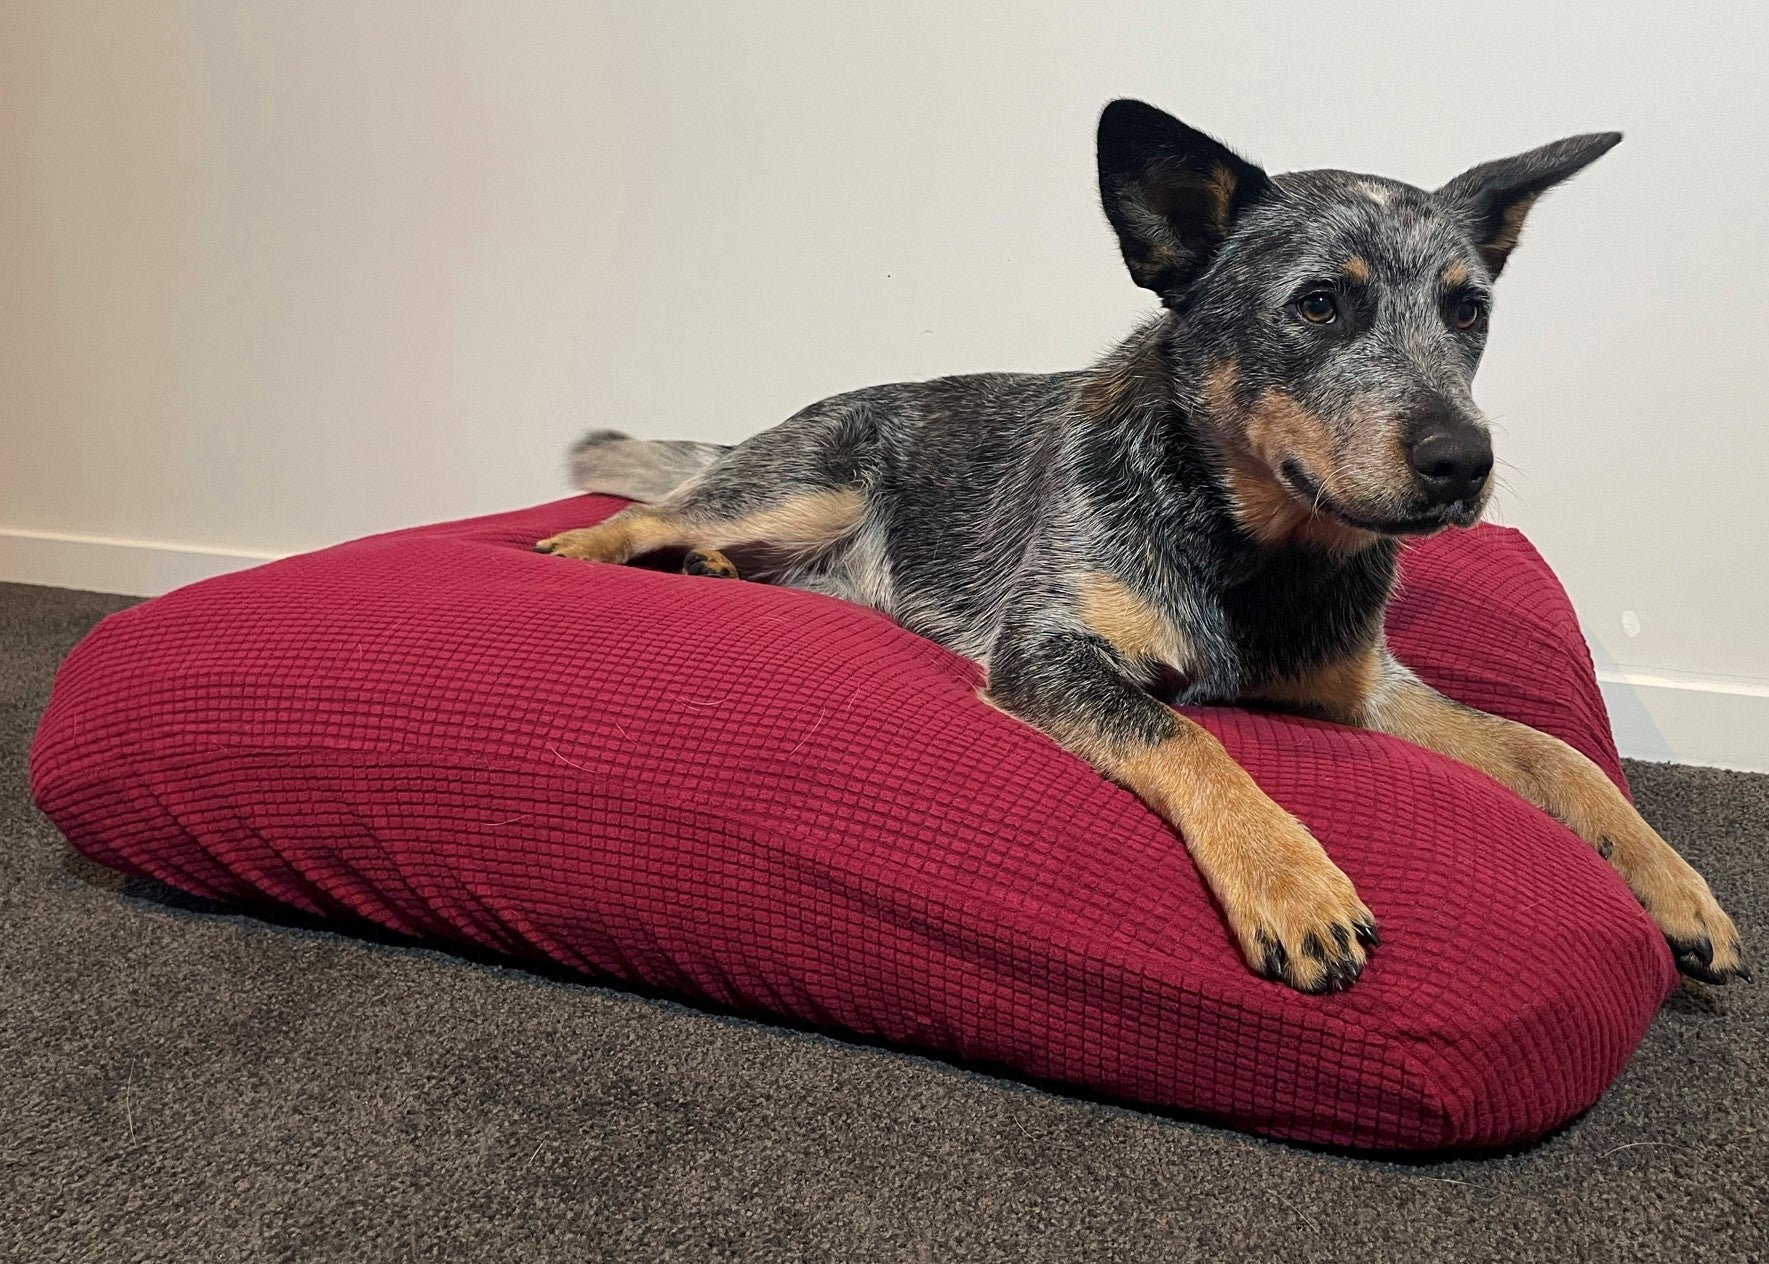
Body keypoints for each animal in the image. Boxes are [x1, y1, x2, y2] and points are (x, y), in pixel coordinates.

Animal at [534, 98, 1740, 997]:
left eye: (1468, 311)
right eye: (1317, 305)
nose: (1463, 461)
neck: (1251, 550)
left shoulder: (1365, 689)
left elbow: (1552, 752)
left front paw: (1673, 882)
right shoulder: (1050, 652)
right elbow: (1186, 735)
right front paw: (1291, 882)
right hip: (800, 488)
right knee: (659, 506)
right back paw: (571, 550)